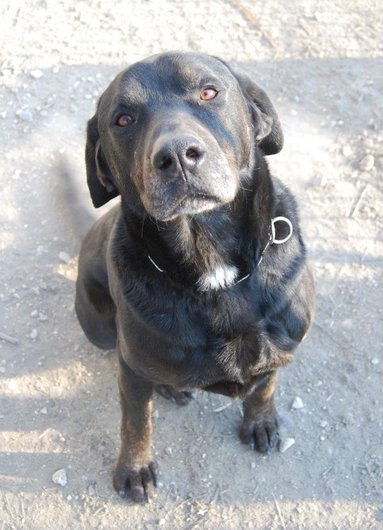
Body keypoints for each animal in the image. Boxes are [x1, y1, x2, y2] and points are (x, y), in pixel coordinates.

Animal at [75, 51, 316, 502]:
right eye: (123, 119)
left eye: (208, 92)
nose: (176, 155)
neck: (214, 268)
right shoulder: (132, 371)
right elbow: (136, 421)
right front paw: (135, 467)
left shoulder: (282, 347)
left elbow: (266, 385)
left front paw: (261, 420)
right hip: (99, 328)